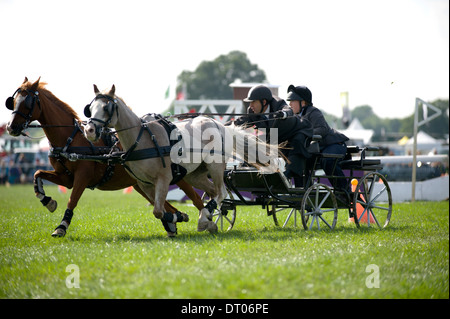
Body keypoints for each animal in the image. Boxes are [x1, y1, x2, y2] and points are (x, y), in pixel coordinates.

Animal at [4, 77, 202, 238]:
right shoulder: (65, 177)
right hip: (140, 184)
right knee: (165, 205)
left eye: (28, 102)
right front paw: (48, 201)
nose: (11, 127)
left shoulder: (82, 176)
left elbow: (72, 200)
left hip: (177, 177)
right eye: (13, 101)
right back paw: (174, 221)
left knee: (196, 199)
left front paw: (61, 227)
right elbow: (37, 173)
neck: (71, 138)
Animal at [83, 85, 282, 235]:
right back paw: (208, 219)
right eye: (90, 108)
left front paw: (179, 217)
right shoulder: (144, 184)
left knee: (221, 192)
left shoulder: (164, 179)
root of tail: (220, 125)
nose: (90, 131)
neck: (142, 139)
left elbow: (158, 210)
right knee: (212, 193)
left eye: (106, 108)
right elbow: (159, 210)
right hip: (194, 174)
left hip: (216, 166)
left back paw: (204, 219)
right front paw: (176, 220)